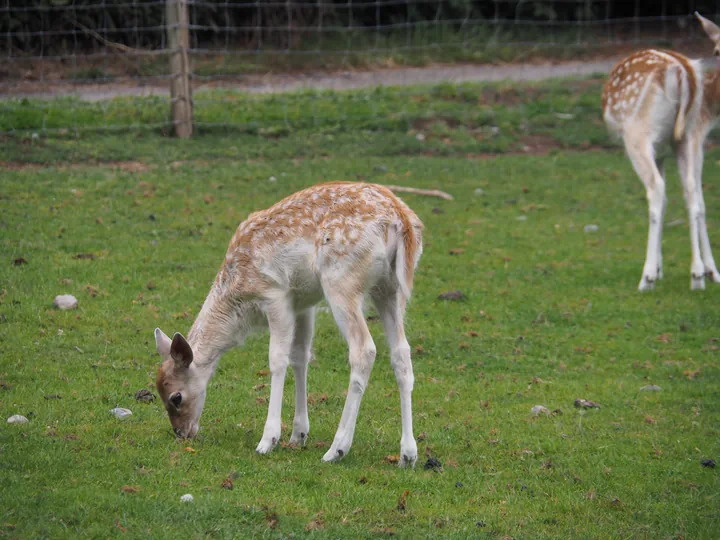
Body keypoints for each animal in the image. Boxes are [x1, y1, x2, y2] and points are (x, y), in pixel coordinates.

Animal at [152, 181, 422, 464]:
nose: (181, 433)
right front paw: (298, 434)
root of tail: (400, 219)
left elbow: (277, 359)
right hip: (390, 288)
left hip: (341, 281)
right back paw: (407, 454)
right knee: (401, 352)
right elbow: (300, 356)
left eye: (176, 397)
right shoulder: (302, 302)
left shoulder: (275, 294)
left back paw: (336, 449)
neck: (239, 302)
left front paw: (268, 439)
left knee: (364, 350)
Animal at [600, 11, 720, 292]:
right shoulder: (677, 146)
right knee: (691, 191)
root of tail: (681, 72)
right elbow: (686, 199)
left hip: (638, 135)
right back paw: (696, 275)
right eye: (717, 50)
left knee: (656, 189)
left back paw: (647, 278)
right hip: (683, 137)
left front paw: (656, 271)